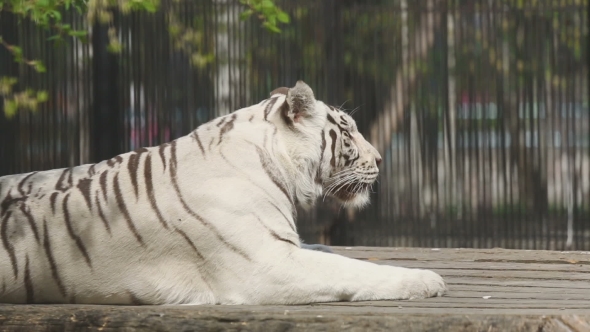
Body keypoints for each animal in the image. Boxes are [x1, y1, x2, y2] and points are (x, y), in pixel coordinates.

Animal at [0, 80, 444, 304]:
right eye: (348, 130)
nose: (381, 158)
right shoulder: (267, 265)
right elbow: (353, 270)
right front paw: (427, 279)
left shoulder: (283, 245)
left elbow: (333, 254)